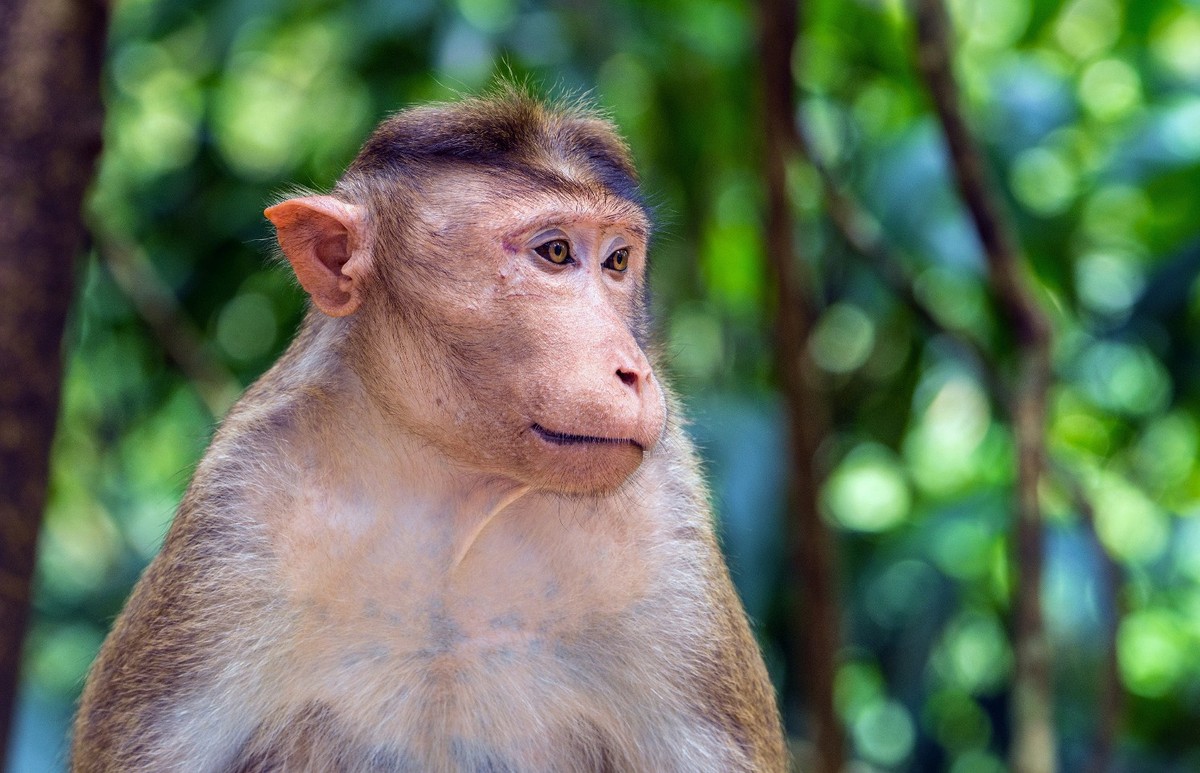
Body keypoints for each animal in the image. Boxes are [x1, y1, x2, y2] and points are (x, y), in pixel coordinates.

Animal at [71, 88, 787, 772]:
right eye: (555, 252)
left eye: (616, 261)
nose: (634, 371)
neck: (451, 481)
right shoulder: (236, 514)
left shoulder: (667, 530)